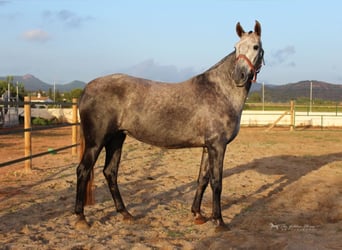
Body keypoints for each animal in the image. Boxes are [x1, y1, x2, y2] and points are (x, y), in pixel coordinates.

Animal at [75, 20, 264, 229]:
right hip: (96, 142)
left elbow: (202, 179)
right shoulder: (218, 146)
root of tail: (87, 89)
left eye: (255, 47)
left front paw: (198, 214)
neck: (220, 91)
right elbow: (217, 182)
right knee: (83, 171)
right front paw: (219, 221)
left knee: (110, 172)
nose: (239, 75)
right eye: (236, 47)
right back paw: (81, 218)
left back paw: (125, 213)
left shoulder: (208, 146)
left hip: (116, 139)